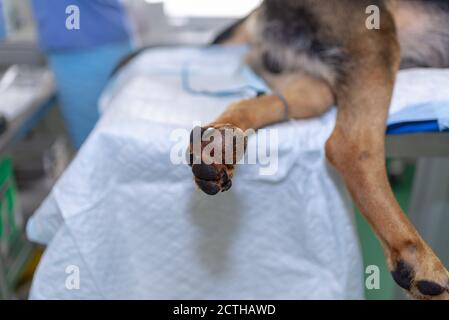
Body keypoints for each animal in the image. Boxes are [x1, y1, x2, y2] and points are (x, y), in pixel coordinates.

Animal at [184, 0, 448, 300]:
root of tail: (259, 10)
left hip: (312, 88)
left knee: (263, 102)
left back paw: (218, 145)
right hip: (373, 37)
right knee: (350, 146)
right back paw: (417, 258)